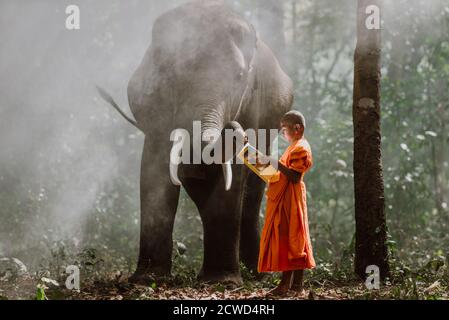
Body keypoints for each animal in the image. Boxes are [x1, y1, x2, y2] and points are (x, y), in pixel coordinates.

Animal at [97, 0, 294, 284]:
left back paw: (258, 274)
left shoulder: (250, 108)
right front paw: (148, 278)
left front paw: (221, 281)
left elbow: (233, 175)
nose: (234, 129)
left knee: (253, 192)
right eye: (172, 72)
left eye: (240, 76)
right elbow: (154, 170)